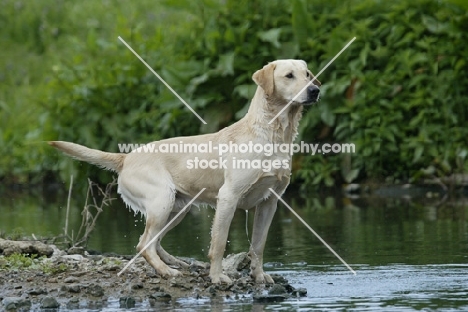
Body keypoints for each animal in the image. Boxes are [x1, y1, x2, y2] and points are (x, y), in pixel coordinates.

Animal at [51, 59, 322, 286]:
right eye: (289, 76)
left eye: (308, 74)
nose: (315, 90)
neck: (273, 135)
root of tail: (127, 157)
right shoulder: (228, 197)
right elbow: (219, 244)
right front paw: (217, 277)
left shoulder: (269, 203)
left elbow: (258, 244)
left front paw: (259, 276)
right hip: (162, 200)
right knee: (144, 244)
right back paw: (167, 271)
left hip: (177, 208)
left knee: (153, 240)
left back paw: (175, 262)